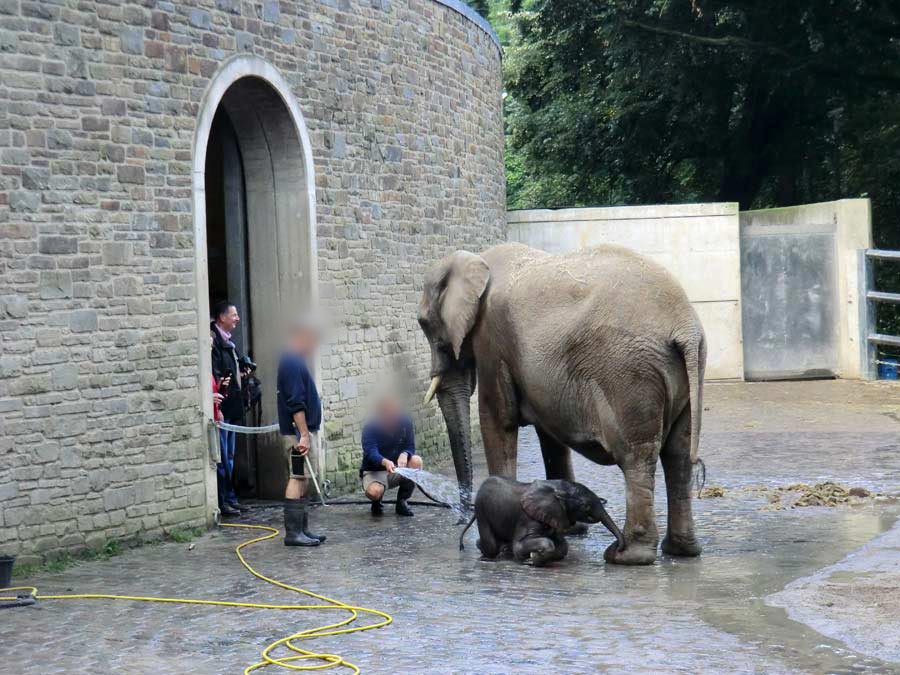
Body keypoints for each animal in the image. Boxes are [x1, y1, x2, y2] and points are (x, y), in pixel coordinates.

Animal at [458, 478, 624, 568]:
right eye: (586, 506)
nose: (619, 548)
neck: (557, 488)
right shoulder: (527, 517)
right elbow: (521, 546)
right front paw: (532, 558)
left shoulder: (555, 515)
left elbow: (563, 546)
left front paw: (536, 557)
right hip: (482, 509)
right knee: (491, 546)